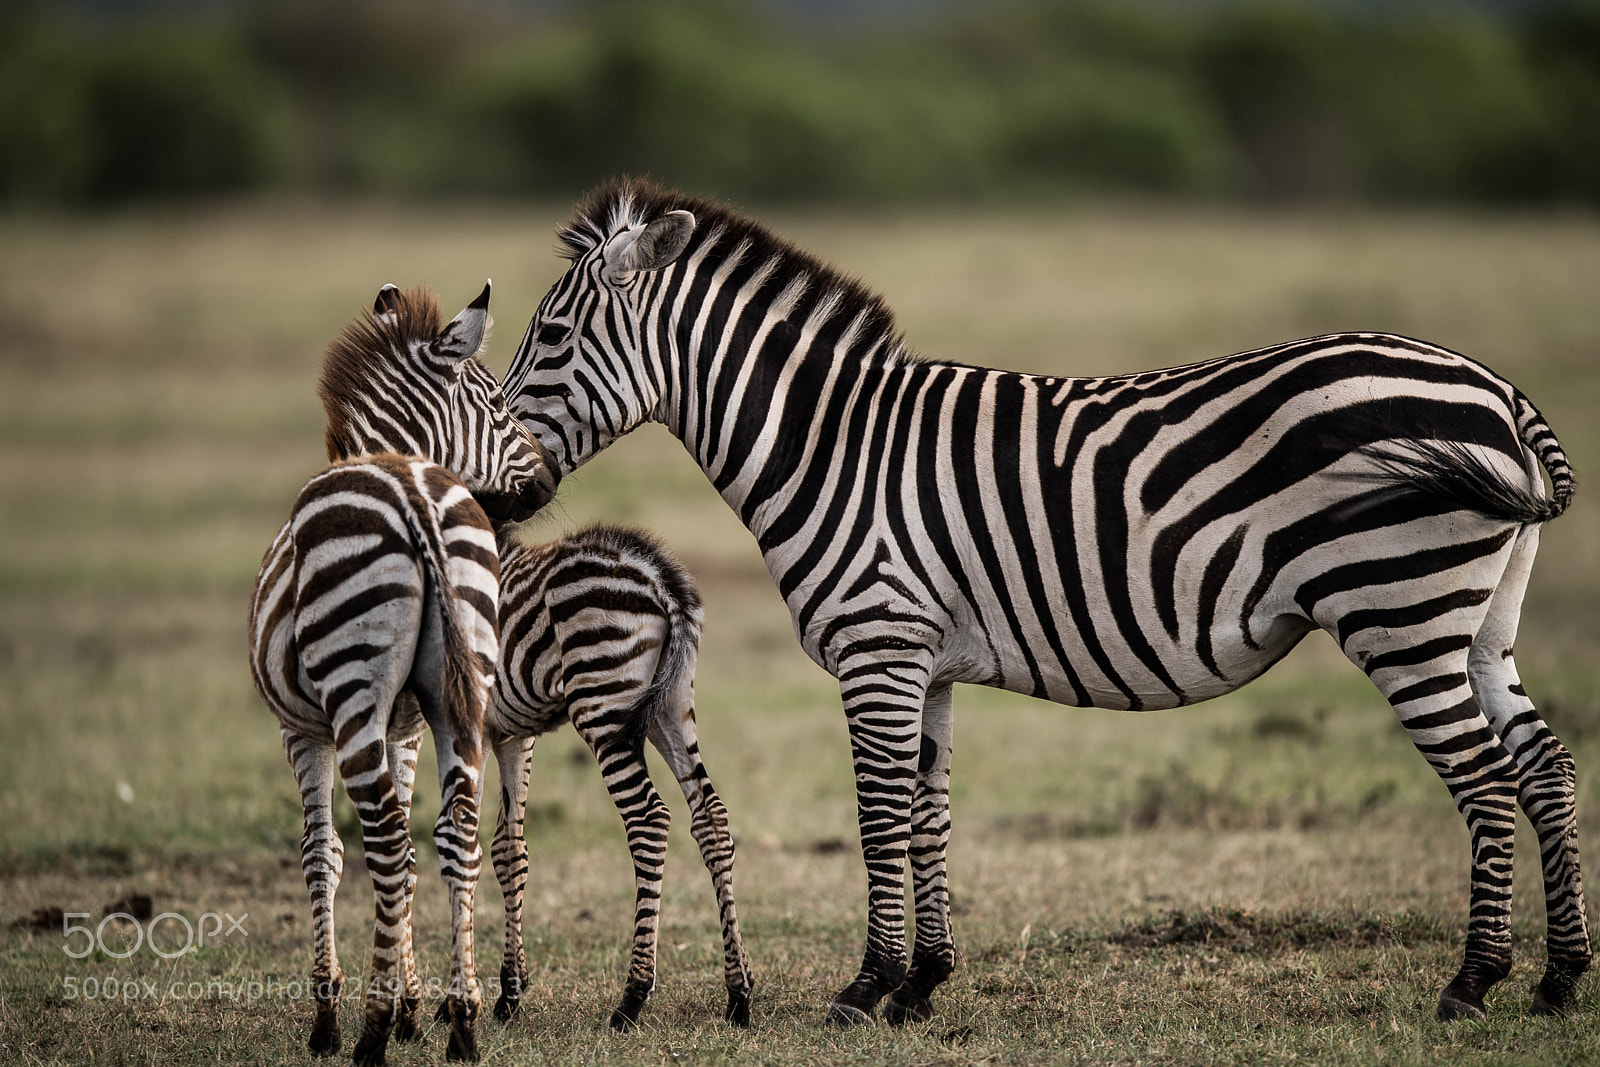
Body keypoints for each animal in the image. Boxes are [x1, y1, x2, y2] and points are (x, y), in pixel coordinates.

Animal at [249, 283, 559, 1064]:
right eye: (500, 405)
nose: (548, 479)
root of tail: (414, 491)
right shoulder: (412, 724)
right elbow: (421, 855)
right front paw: (422, 1005)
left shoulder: (303, 729)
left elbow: (323, 852)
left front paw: (333, 1013)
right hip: (457, 693)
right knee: (459, 830)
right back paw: (465, 1019)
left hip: (354, 695)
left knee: (385, 836)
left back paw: (367, 1029)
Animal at [487, 524, 753, 1031]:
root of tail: (659, 577)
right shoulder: (511, 732)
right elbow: (506, 847)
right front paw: (509, 990)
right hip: (671, 705)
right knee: (711, 816)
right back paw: (739, 991)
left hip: (604, 705)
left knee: (649, 819)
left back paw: (632, 997)